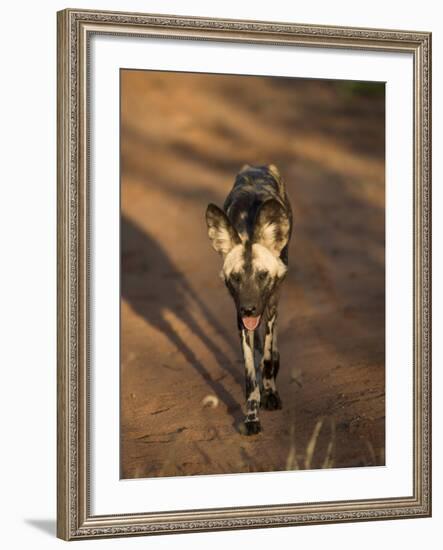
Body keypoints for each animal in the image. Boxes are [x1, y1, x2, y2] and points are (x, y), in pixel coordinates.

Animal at [206, 164, 294, 436]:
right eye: (235, 278)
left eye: (262, 275)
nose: (249, 308)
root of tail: (257, 166)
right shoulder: (240, 319)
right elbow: (249, 374)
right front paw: (252, 417)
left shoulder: (270, 303)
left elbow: (265, 357)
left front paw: (271, 394)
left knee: (270, 344)